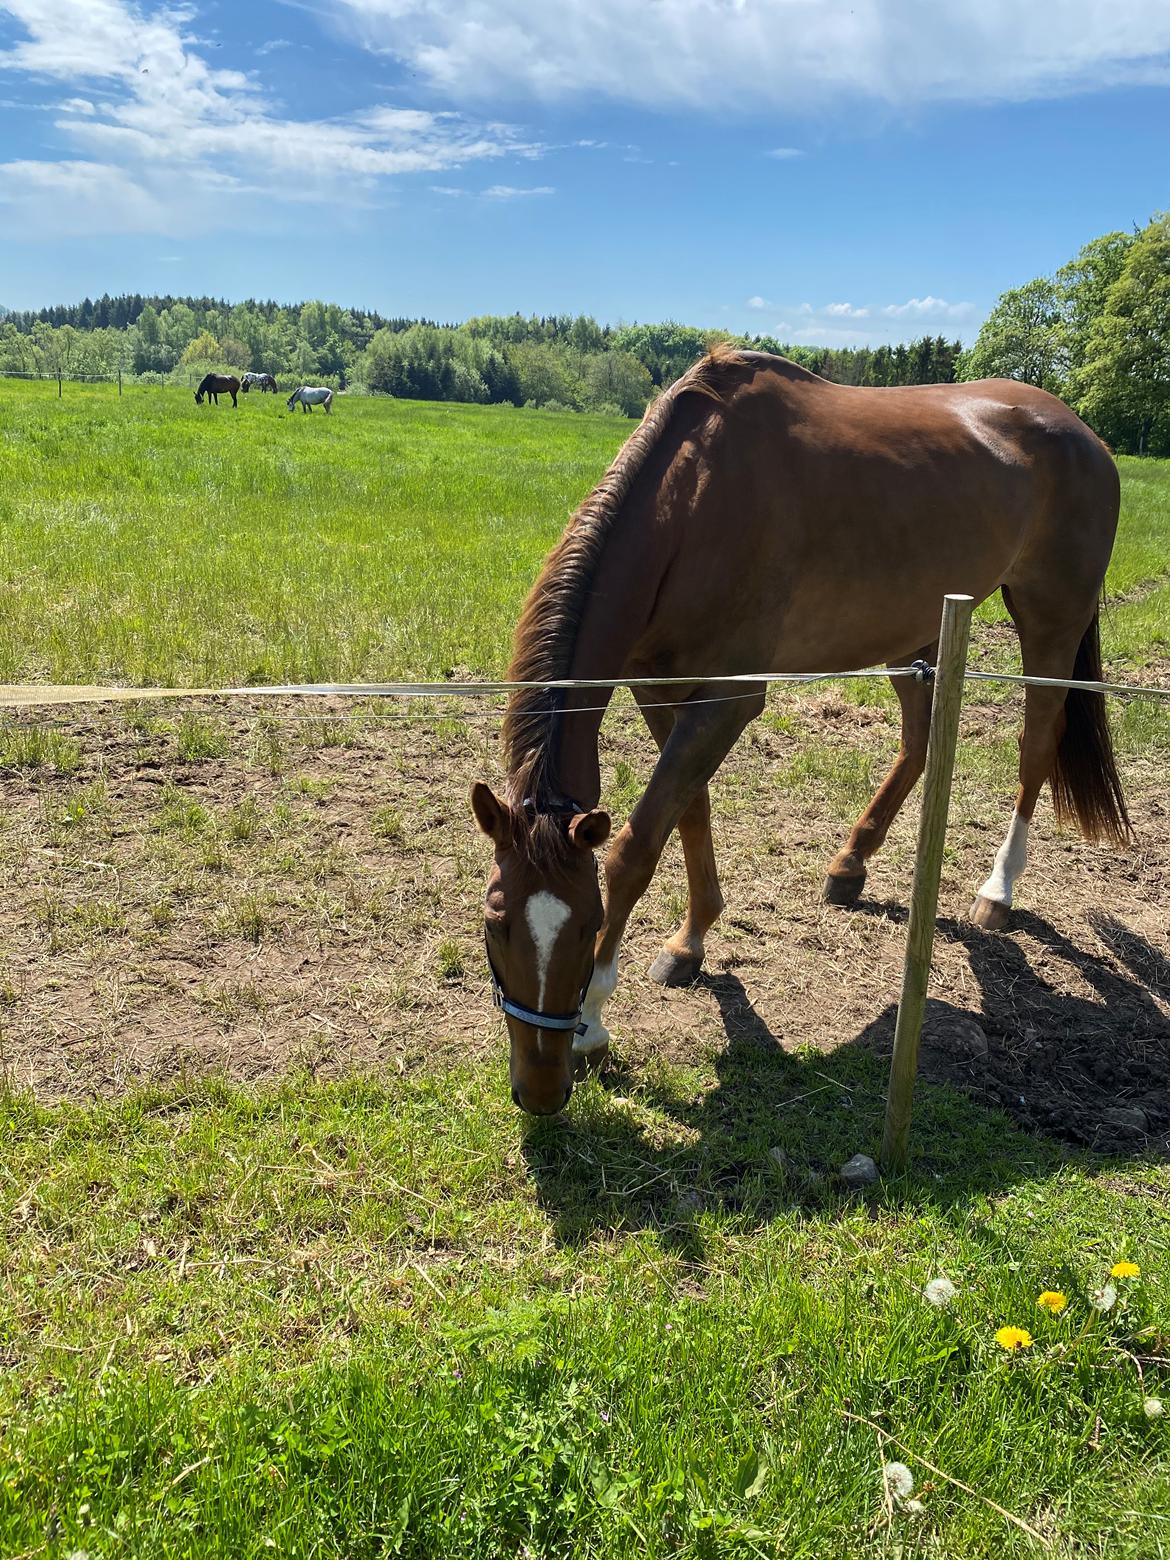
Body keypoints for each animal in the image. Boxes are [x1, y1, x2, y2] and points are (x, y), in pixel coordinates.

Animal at [471, 347, 1129, 1116]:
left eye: (587, 925)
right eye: (495, 923)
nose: (540, 1090)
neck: (692, 503)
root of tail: (1084, 435)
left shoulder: (727, 700)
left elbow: (636, 847)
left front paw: (596, 1023)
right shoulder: (661, 690)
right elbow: (689, 815)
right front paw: (691, 942)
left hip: (1051, 616)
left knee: (1035, 746)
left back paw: (998, 890)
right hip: (917, 633)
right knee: (919, 742)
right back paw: (850, 865)